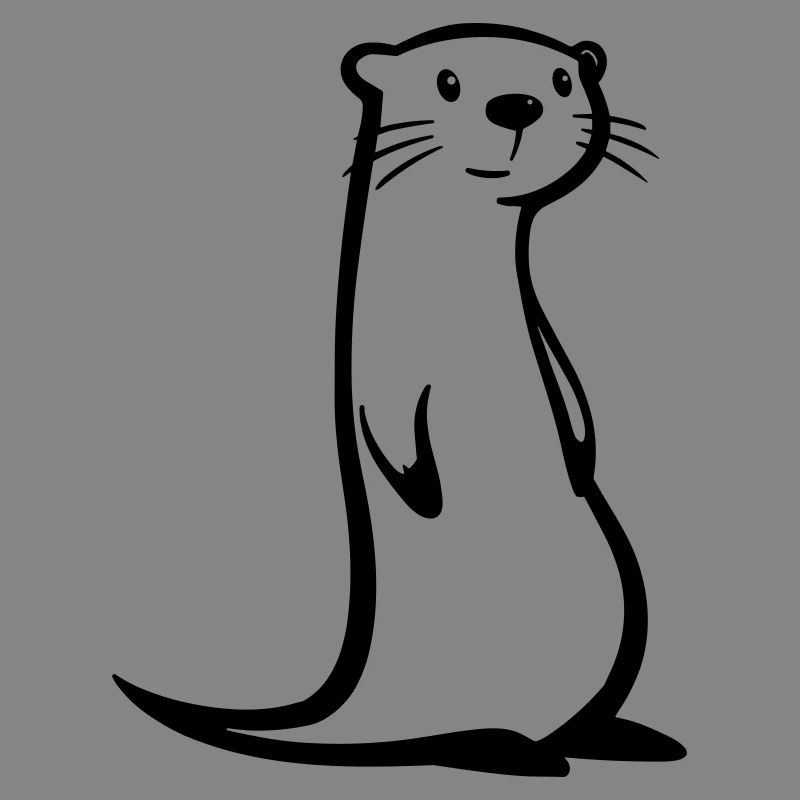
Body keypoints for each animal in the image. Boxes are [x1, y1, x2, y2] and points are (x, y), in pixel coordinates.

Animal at [113, 24, 685, 777]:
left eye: (564, 81)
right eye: (448, 82)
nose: (517, 104)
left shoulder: (540, 334)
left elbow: (569, 386)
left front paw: (582, 454)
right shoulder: (389, 353)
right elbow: (386, 421)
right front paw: (417, 481)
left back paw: (618, 737)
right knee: (454, 737)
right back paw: (512, 752)